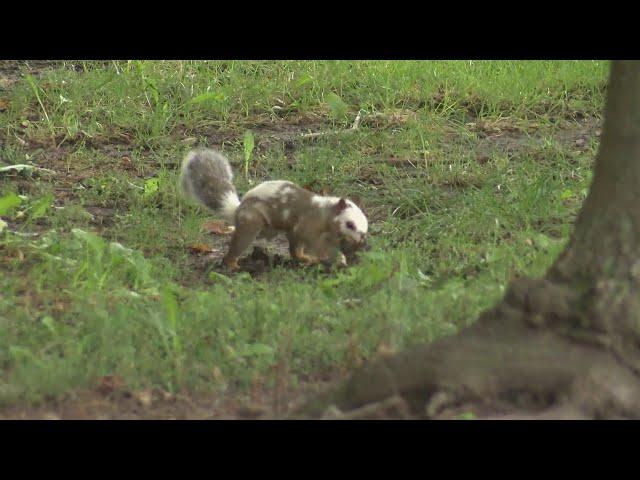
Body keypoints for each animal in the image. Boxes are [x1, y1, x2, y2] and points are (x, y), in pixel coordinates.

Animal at [180, 149, 370, 270]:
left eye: (365, 227)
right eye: (350, 224)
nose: (360, 241)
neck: (325, 213)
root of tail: (237, 210)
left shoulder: (301, 232)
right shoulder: (309, 227)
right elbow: (319, 246)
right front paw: (338, 258)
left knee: (294, 250)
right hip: (252, 223)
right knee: (236, 248)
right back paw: (234, 265)